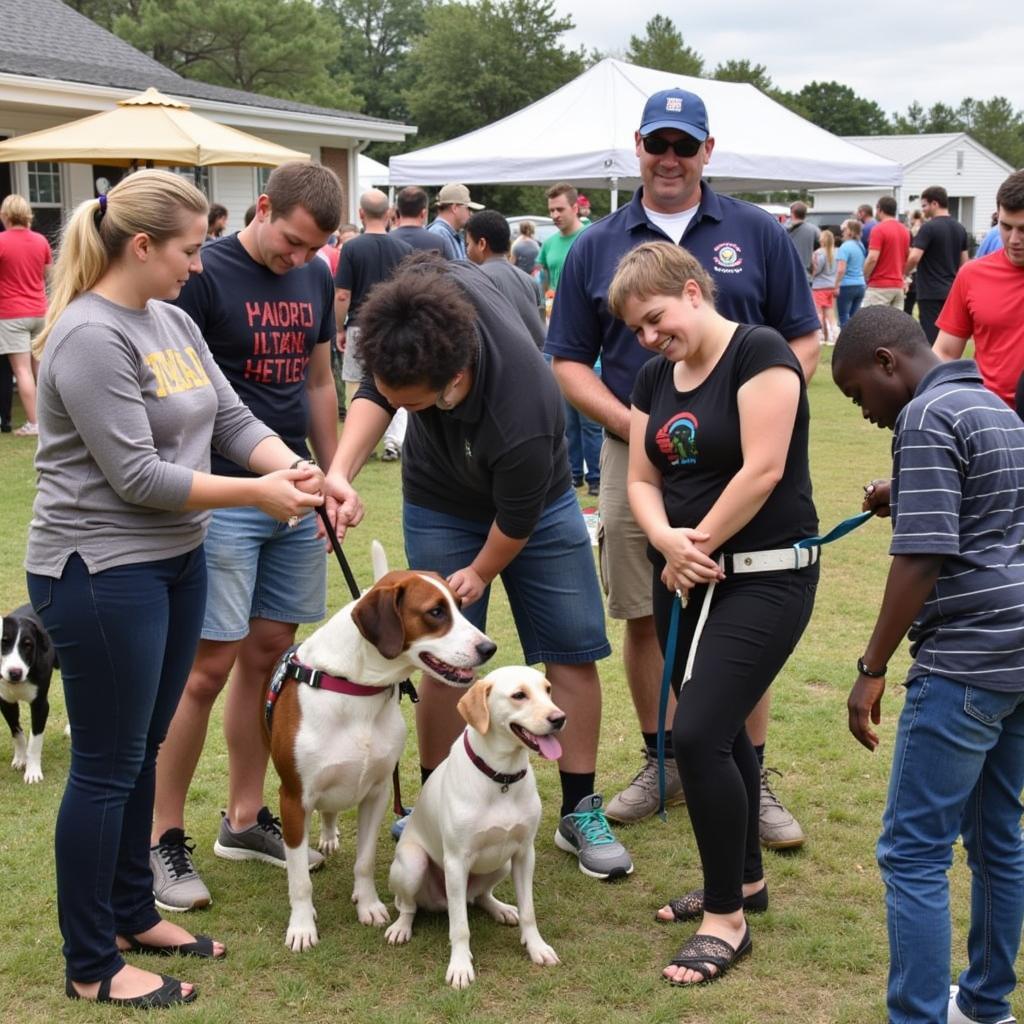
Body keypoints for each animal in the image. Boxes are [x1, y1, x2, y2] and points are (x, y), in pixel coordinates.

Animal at [0, 598, 55, 782]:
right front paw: (20, 759)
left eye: (28, 645)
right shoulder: (6, 701)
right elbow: (17, 733)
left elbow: (35, 741)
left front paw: (33, 772)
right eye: (3, 643)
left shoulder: (40, 705)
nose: (15, 672)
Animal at [264, 544, 495, 950]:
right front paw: (302, 926)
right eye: (436, 612)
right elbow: (299, 879)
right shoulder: (293, 798)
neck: (354, 687)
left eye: (459, 603)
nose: (488, 647)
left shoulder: (377, 792)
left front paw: (368, 904)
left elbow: (366, 860)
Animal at [385, 667, 565, 987]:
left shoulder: (524, 854)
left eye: (548, 690)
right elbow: (460, 927)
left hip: (502, 864)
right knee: (409, 905)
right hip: (413, 864)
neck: (501, 776)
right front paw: (460, 966)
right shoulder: (457, 861)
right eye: (519, 695)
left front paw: (537, 947)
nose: (560, 719)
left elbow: (529, 912)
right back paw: (401, 927)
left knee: (479, 896)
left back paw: (501, 909)